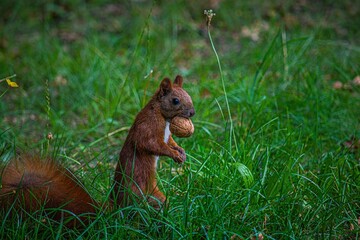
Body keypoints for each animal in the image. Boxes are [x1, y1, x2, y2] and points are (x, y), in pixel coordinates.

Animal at [0, 75, 195, 227]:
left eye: (189, 95)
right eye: (175, 100)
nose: (192, 112)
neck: (163, 117)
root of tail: (115, 208)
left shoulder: (166, 135)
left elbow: (169, 141)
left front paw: (180, 151)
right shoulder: (147, 127)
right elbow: (152, 144)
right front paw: (174, 154)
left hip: (154, 195)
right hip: (137, 194)